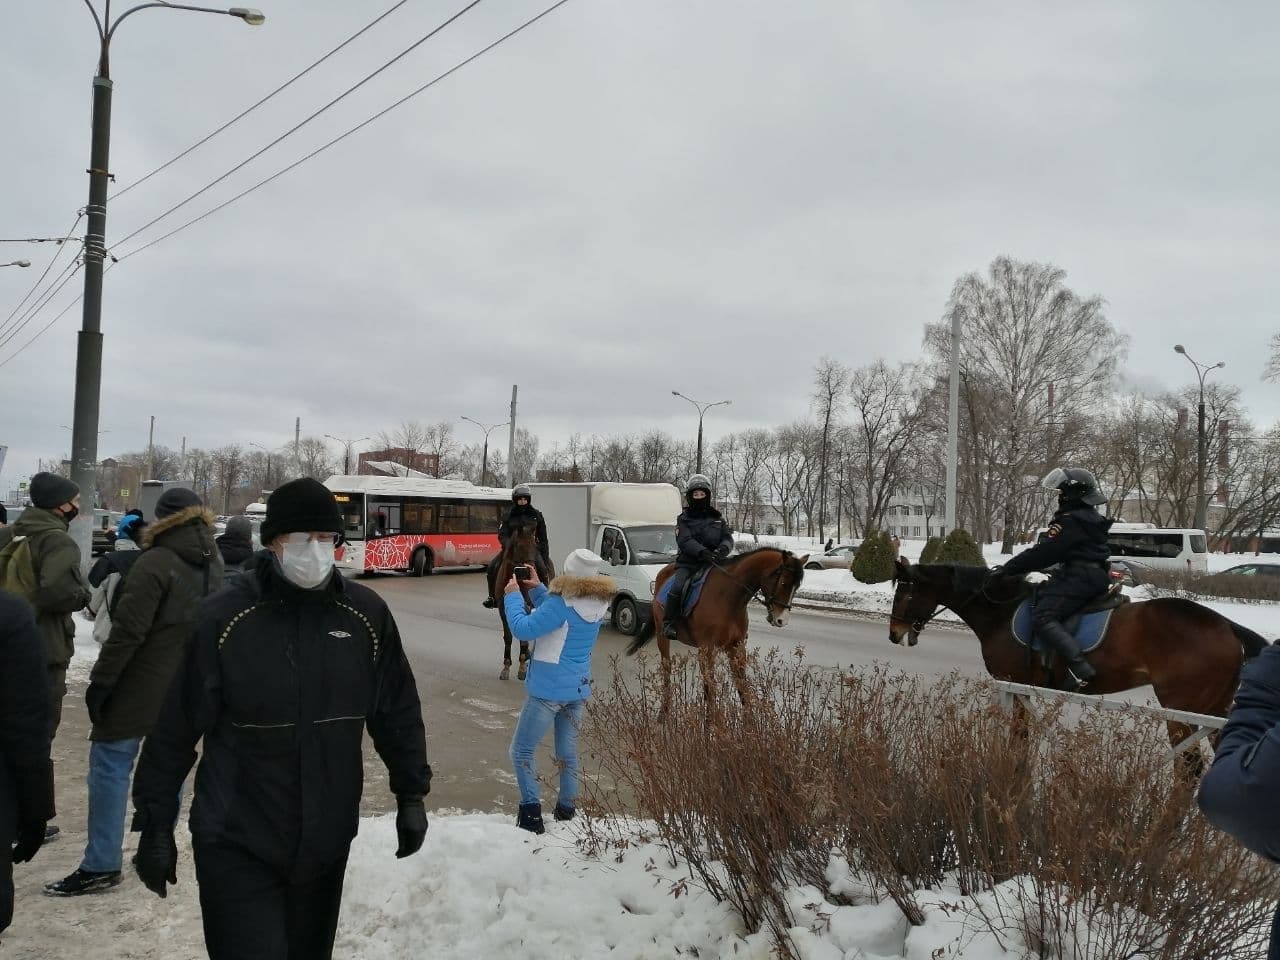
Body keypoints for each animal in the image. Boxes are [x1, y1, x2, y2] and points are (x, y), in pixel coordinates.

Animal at [624, 547, 803, 721]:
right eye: (783, 583)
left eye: (797, 587)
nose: (781, 620)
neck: (729, 597)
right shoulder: (708, 648)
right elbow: (711, 686)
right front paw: (711, 725)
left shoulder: (736, 646)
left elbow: (741, 684)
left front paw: (749, 724)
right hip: (662, 636)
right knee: (667, 670)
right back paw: (664, 712)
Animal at [890, 563, 1269, 773]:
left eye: (905, 594)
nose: (894, 634)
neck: (1002, 612)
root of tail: (1226, 626)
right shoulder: (1022, 690)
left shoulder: (1014, 685)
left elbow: (1018, 737)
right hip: (1215, 710)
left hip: (1183, 713)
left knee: (1188, 771)